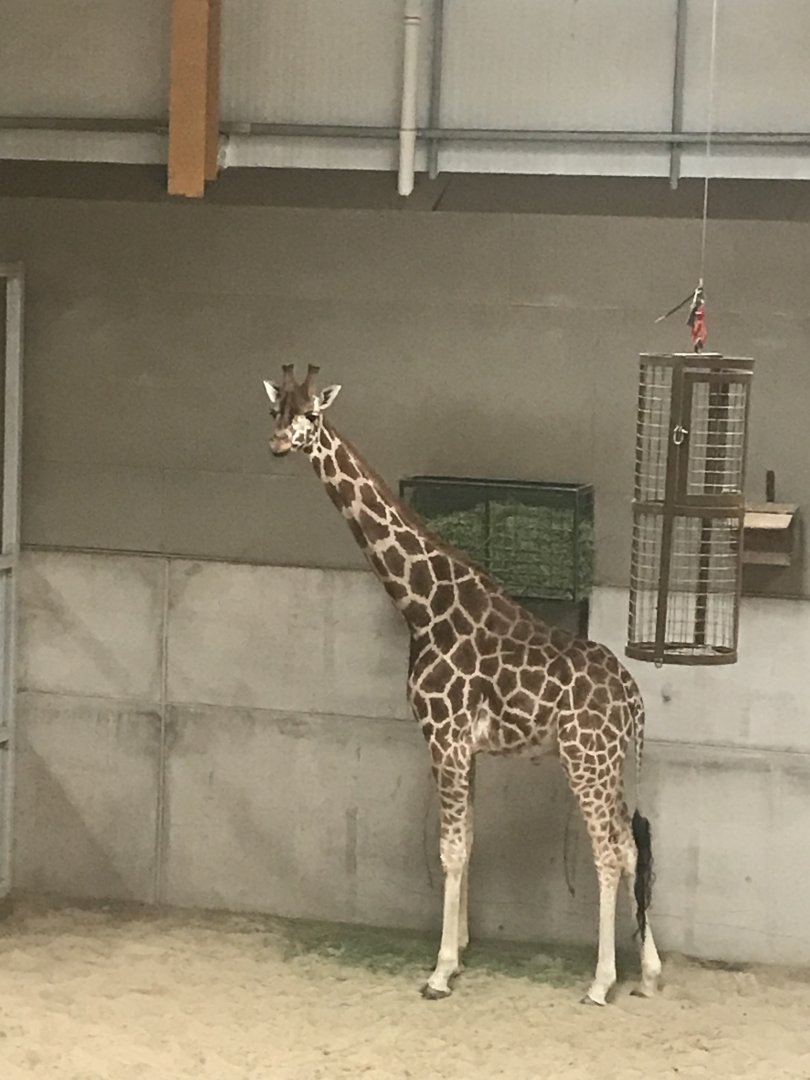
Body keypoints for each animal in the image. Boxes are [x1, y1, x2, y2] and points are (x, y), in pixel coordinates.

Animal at [262, 363, 662, 1006]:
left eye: (313, 415)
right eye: (276, 411)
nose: (278, 444)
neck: (424, 605)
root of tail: (633, 697)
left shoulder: (444, 738)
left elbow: (449, 850)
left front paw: (440, 970)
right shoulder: (466, 747)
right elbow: (469, 842)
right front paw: (464, 948)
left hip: (585, 760)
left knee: (607, 851)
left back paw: (602, 982)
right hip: (612, 761)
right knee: (629, 846)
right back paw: (648, 972)